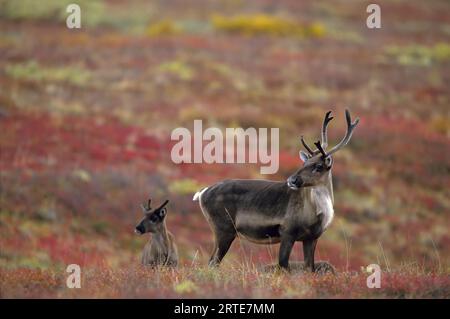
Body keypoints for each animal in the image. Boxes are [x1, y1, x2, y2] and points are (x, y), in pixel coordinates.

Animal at [193, 109, 358, 272]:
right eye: (304, 163)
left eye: (318, 166)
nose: (292, 180)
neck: (318, 212)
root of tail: (202, 192)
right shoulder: (287, 232)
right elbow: (283, 266)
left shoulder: (311, 238)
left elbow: (308, 268)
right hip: (224, 230)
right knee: (213, 262)